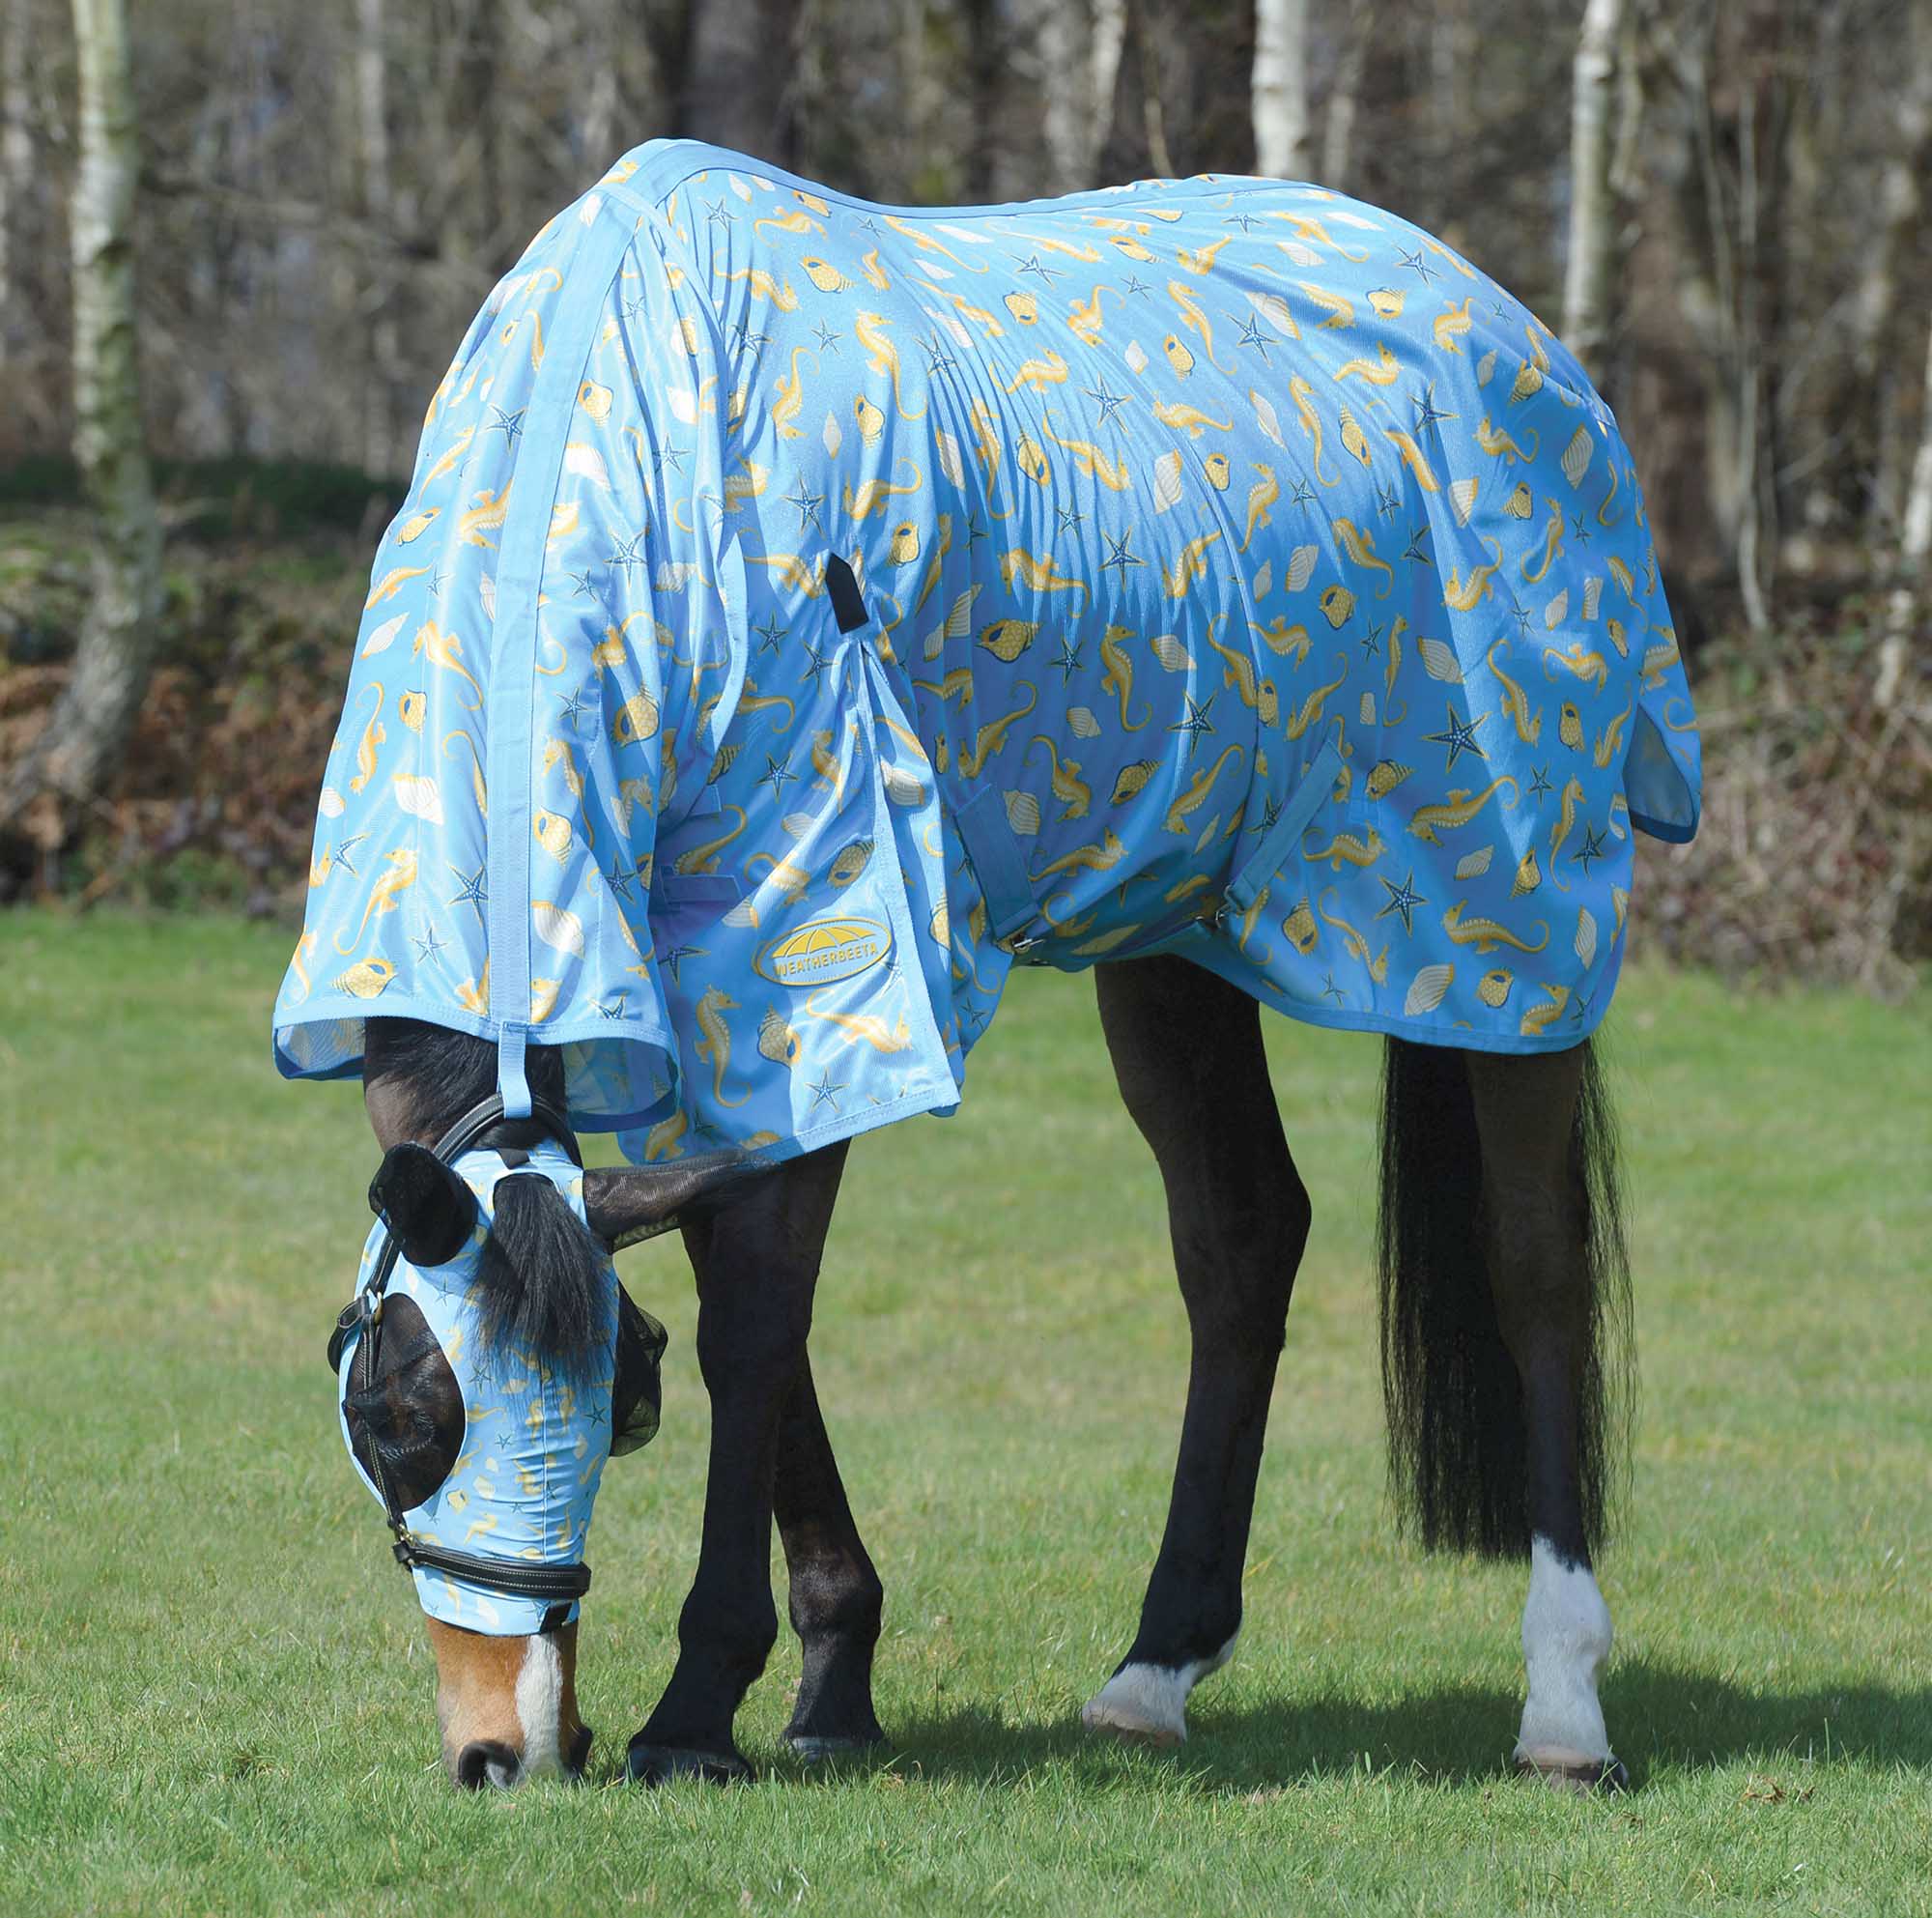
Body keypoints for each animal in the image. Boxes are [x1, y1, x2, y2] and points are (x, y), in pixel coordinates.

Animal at [284, 139, 1700, 1791]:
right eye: (394, 1414)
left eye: (623, 1405)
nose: (506, 1749)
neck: (642, 428)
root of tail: (1515, 335)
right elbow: (743, 1278)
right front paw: (832, 1676)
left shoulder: (823, 928)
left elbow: (757, 1306)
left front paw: (705, 1702)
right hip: (1179, 927)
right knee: (1242, 1239)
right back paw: (1156, 1667)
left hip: (1507, 918)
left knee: (1538, 1266)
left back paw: (1564, 1704)